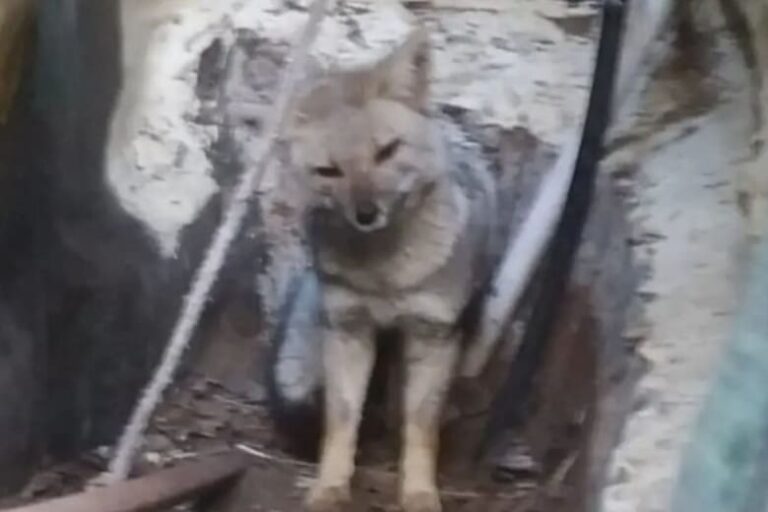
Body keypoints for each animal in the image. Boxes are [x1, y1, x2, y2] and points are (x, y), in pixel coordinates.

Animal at [266, 26, 498, 512]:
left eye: (387, 152)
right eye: (329, 171)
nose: (367, 213)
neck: (386, 276)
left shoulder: (433, 334)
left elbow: (421, 427)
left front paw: (419, 492)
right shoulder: (347, 327)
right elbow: (341, 420)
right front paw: (329, 486)